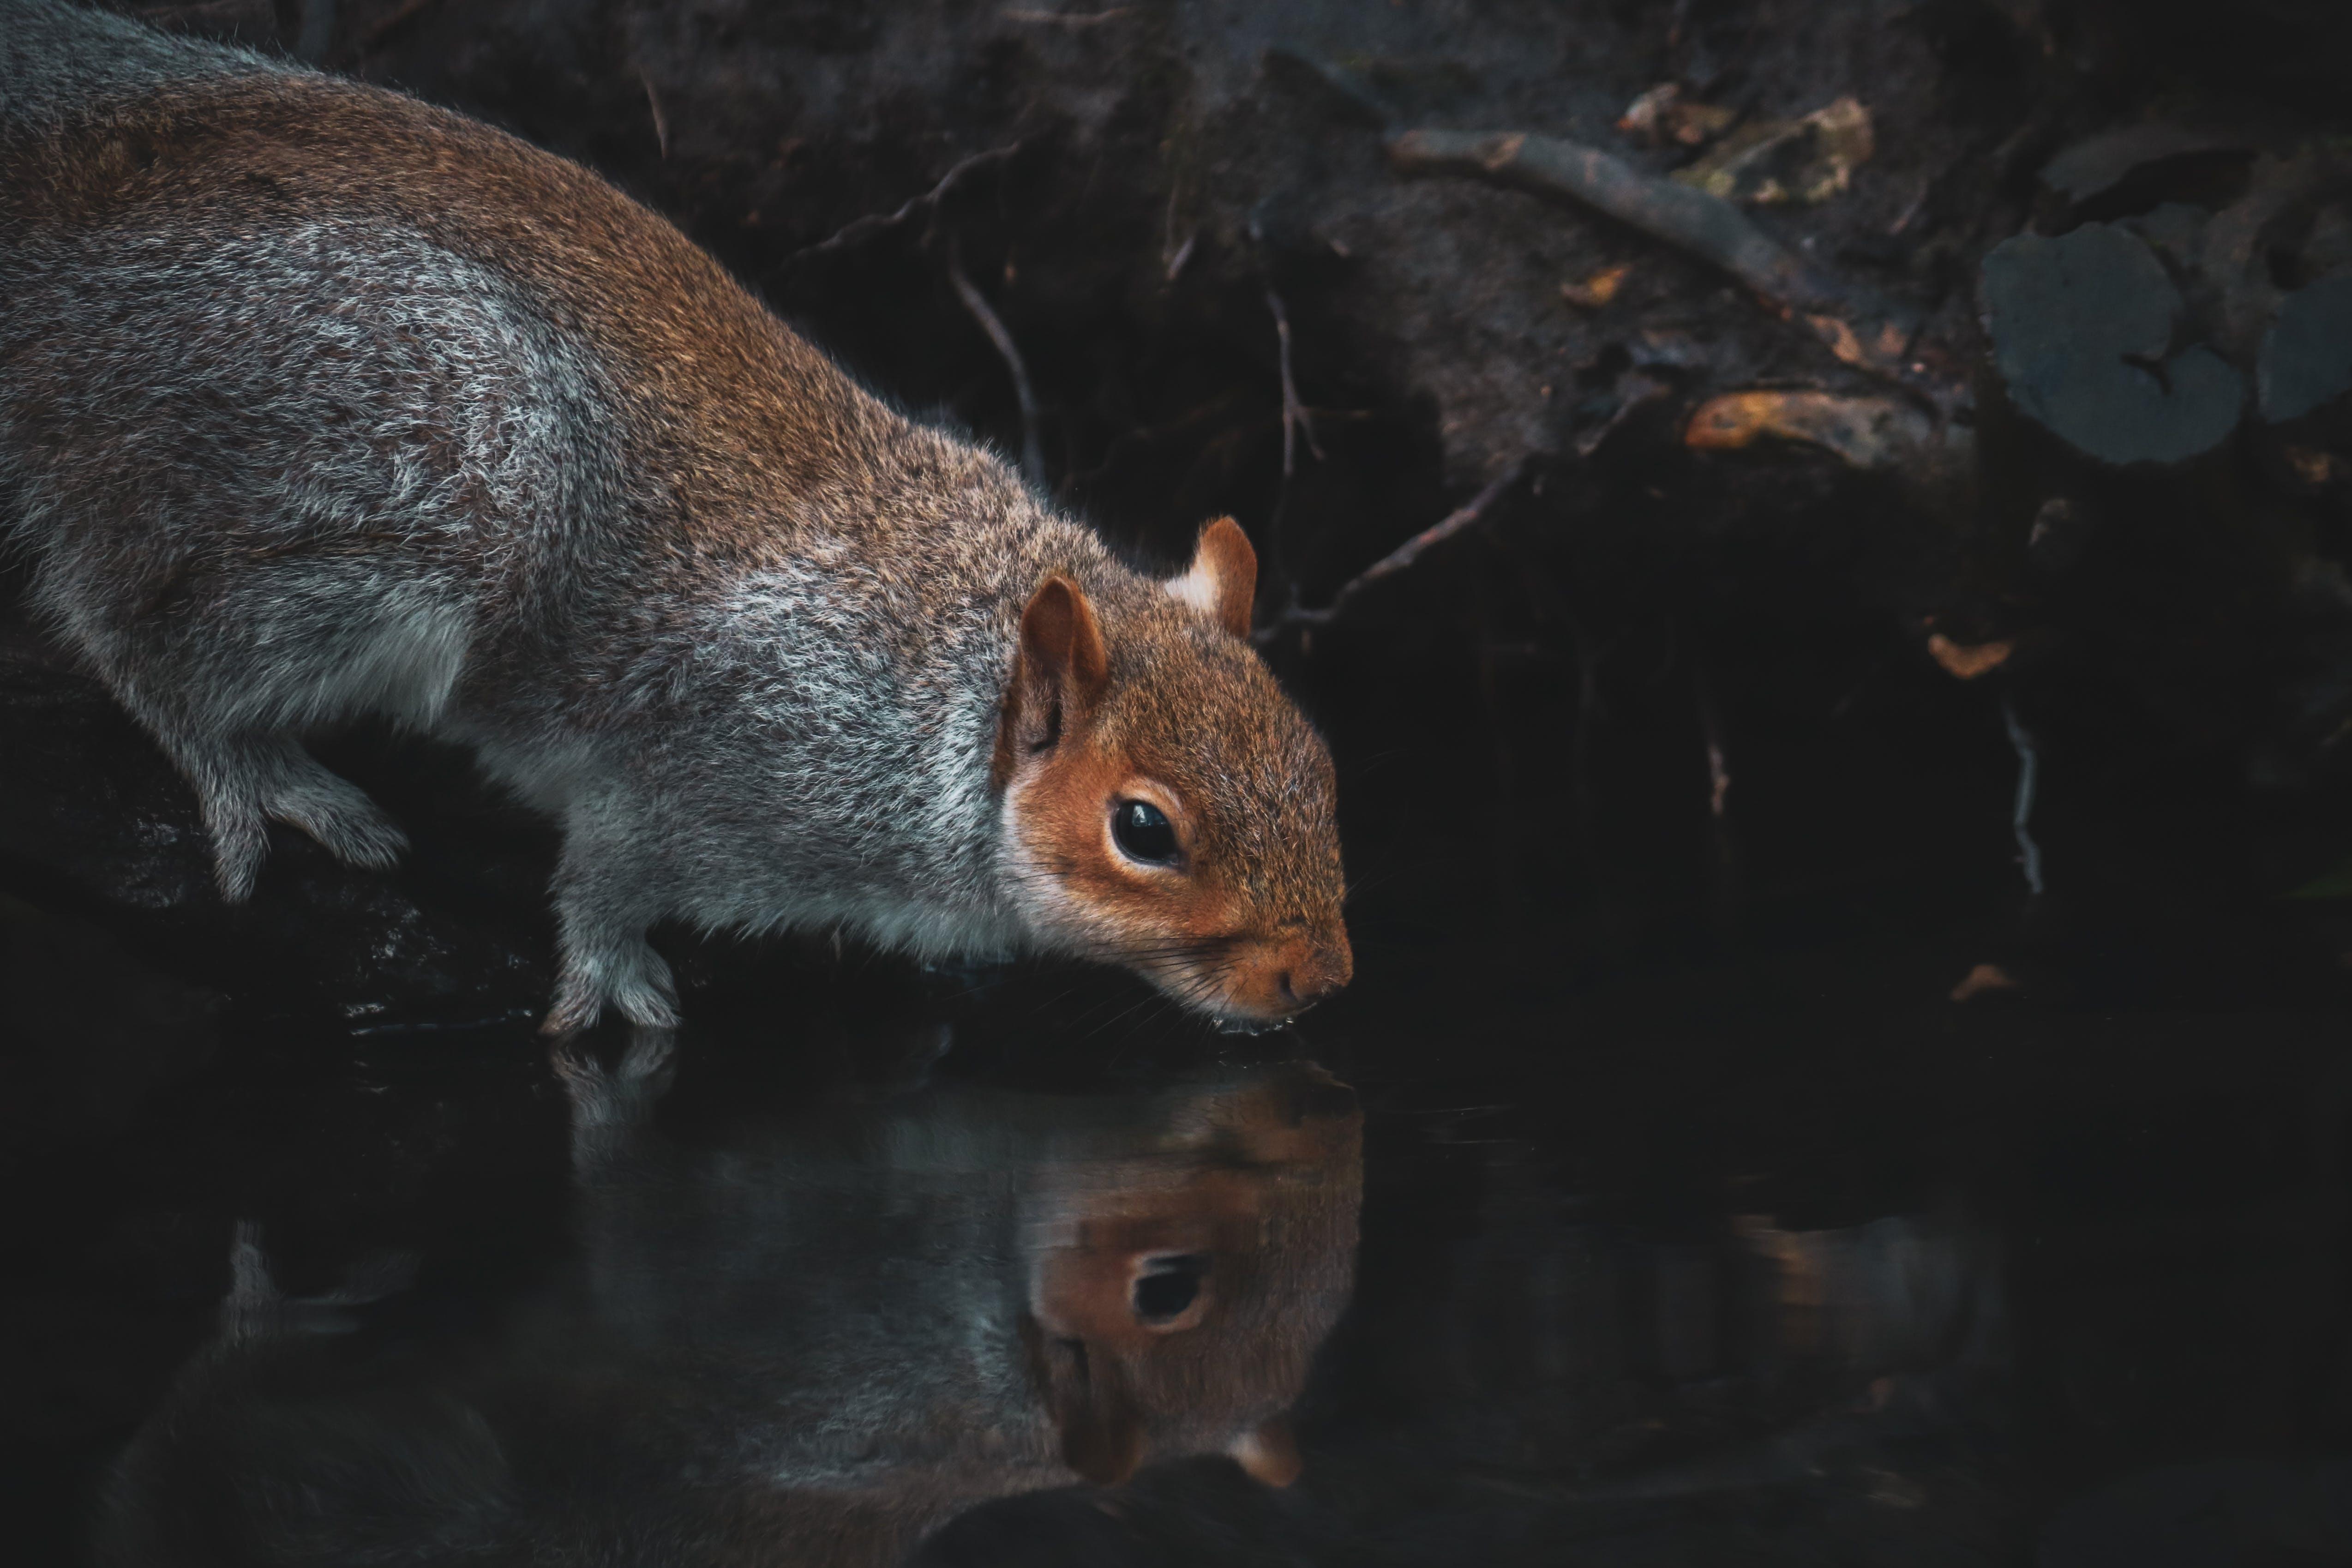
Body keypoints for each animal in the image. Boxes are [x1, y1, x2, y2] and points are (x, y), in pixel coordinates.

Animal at [0, 0, 1352, 1034]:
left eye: (1321, 760)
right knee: (126, 613)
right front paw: (605, 976)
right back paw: (247, 762)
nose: (1324, 978)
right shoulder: (716, 754)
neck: (946, 702)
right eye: (1144, 830)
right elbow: (610, 863)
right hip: (414, 445)